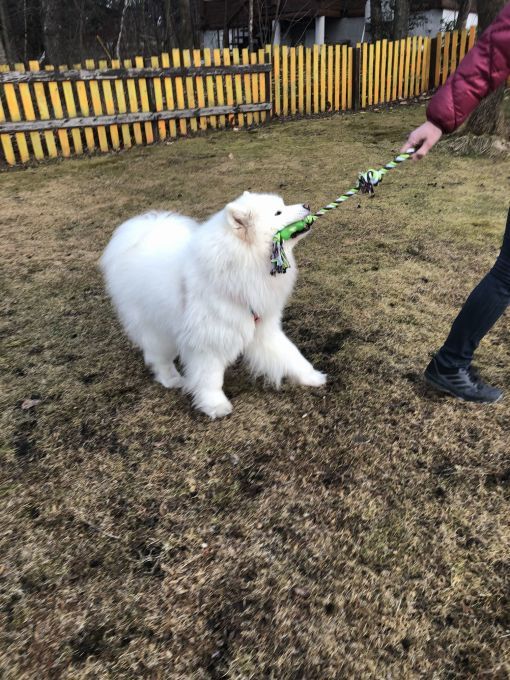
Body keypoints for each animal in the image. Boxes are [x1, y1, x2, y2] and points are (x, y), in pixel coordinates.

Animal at [99, 189, 326, 418]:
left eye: (283, 204)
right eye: (278, 212)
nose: (307, 205)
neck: (243, 263)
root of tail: (143, 233)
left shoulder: (262, 328)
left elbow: (291, 355)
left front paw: (313, 377)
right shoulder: (207, 340)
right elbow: (210, 378)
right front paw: (215, 405)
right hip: (157, 328)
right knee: (158, 357)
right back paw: (171, 379)